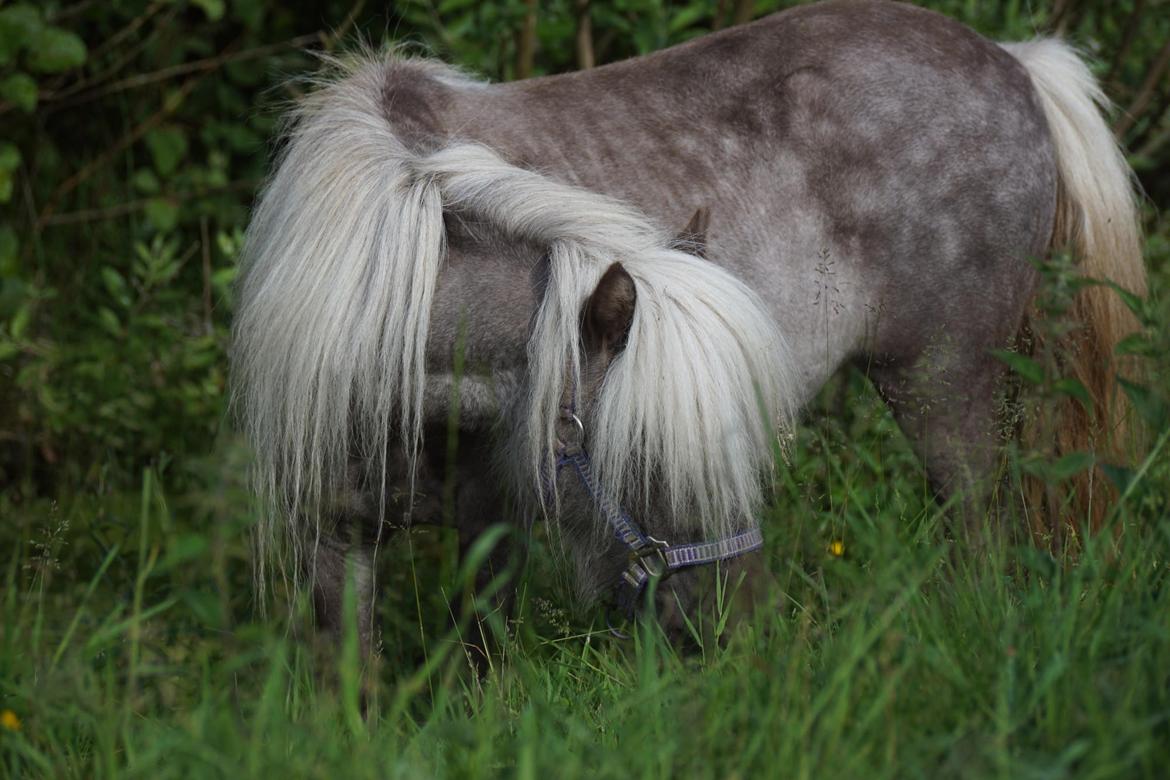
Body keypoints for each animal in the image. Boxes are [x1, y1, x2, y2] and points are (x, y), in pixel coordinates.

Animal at [228, 0, 1141, 659]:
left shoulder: (493, 527)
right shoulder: (333, 538)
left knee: (982, 531)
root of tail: (1015, 62)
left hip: (943, 388)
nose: (739, 623)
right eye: (642, 455)